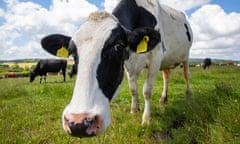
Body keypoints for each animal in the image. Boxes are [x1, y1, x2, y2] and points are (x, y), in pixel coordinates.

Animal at [39, 0, 191, 138]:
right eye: (72, 53)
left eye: (118, 47)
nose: (78, 123)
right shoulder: (128, 63)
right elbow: (133, 89)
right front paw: (134, 110)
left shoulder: (156, 55)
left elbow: (147, 90)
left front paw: (146, 119)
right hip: (167, 61)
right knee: (166, 75)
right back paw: (163, 98)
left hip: (185, 56)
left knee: (186, 75)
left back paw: (188, 94)